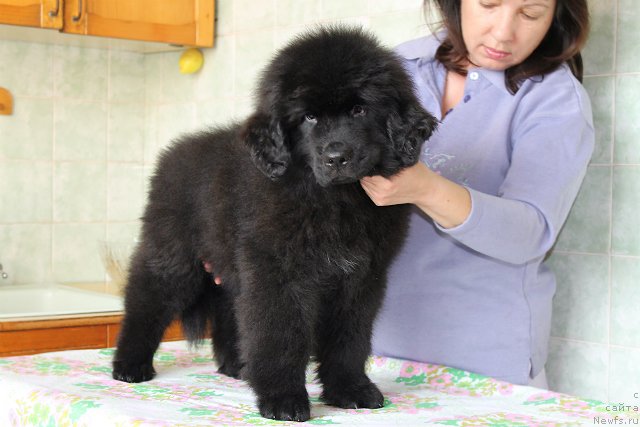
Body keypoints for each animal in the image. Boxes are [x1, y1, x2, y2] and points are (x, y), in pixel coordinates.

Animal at [112, 27, 438, 424]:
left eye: (359, 109)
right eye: (308, 117)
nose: (336, 157)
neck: (333, 201)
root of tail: (173, 153)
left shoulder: (361, 277)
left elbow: (350, 336)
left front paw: (350, 390)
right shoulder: (278, 272)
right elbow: (280, 334)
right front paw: (283, 398)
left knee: (230, 310)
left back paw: (237, 366)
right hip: (173, 255)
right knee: (146, 300)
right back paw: (130, 365)